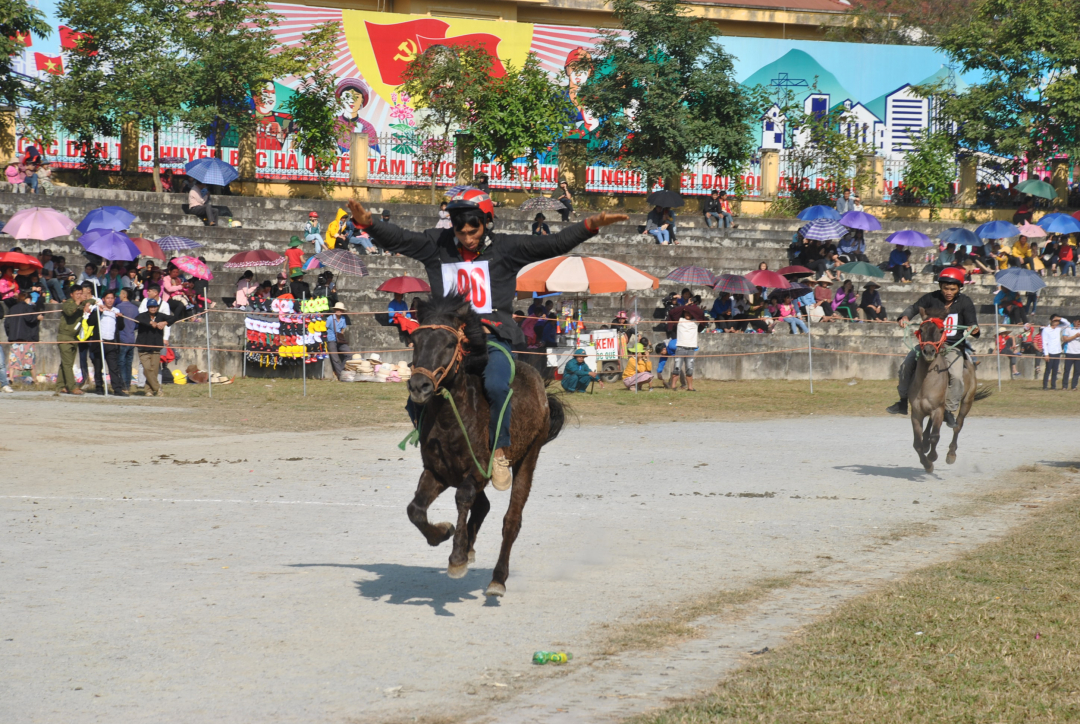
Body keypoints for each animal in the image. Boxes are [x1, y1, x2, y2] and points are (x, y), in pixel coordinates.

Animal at [403, 291, 565, 596]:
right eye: (415, 341)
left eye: (450, 343)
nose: (419, 386)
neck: (451, 417)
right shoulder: (437, 472)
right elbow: (415, 510)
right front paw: (442, 533)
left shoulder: (478, 471)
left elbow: (463, 498)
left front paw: (456, 558)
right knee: (483, 506)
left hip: (528, 456)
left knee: (511, 520)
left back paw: (497, 578)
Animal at [907, 306, 989, 473]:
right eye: (921, 329)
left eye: (941, 329)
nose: (929, 351)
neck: (926, 383)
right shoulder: (916, 413)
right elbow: (917, 443)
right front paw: (927, 464)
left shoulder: (938, 409)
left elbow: (935, 437)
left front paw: (932, 458)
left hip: (967, 401)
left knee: (958, 425)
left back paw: (951, 454)